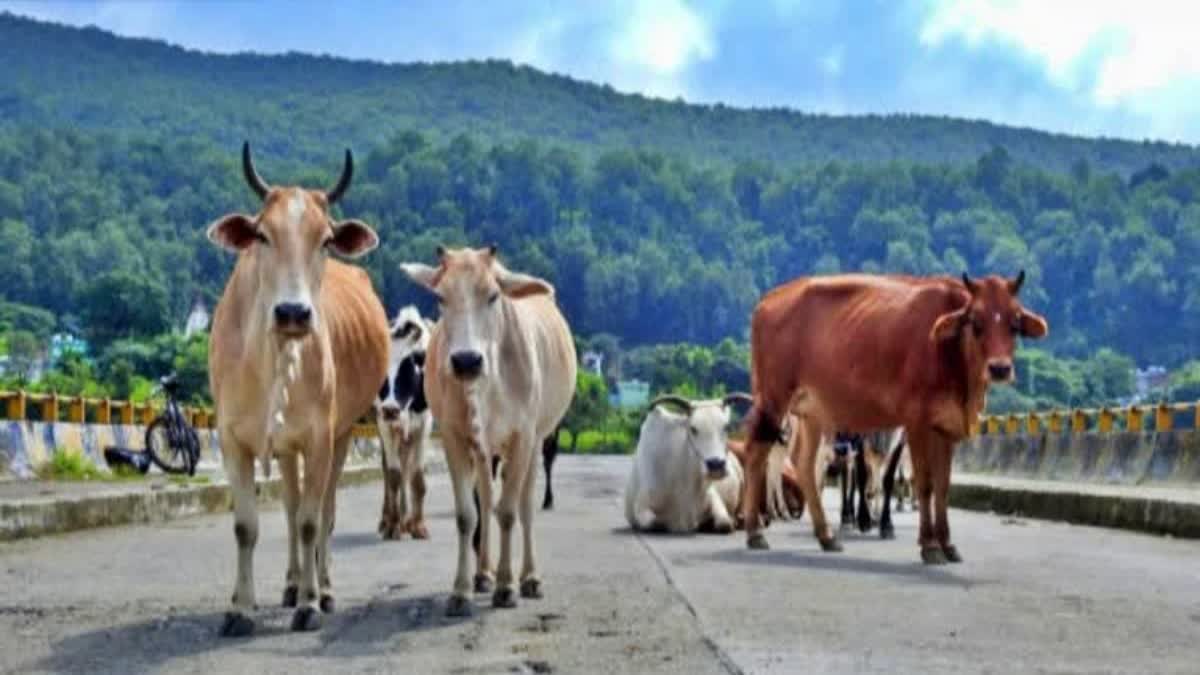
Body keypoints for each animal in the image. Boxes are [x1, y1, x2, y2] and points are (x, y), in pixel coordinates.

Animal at [207, 143, 389, 635]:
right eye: (262, 235)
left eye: (325, 239)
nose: (293, 313)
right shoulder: (232, 440)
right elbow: (247, 526)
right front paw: (240, 608)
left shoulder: (321, 437)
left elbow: (311, 522)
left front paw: (309, 603)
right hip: (287, 447)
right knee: (289, 508)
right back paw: (290, 583)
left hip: (341, 434)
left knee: (323, 511)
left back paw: (320, 588)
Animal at [374, 305, 434, 541]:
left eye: (407, 369)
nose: (391, 409)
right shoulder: (385, 425)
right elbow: (393, 476)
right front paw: (393, 525)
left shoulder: (424, 426)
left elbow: (417, 477)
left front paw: (418, 525)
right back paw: (389, 520)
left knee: (407, 467)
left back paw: (406, 520)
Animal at [401, 245, 577, 616]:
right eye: (441, 297)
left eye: (493, 295)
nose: (466, 360)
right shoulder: (454, 437)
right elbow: (467, 515)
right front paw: (461, 590)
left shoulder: (523, 437)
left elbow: (508, 512)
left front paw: (507, 586)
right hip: (483, 451)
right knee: (484, 495)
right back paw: (483, 573)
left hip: (537, 440)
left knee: (524, 504)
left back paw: (529, 577)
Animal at [624, 394, 752, 534]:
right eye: (693, 429)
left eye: (726, 427)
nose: (716, 465)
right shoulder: (642, 506)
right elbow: (656, 524)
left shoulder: (714, 500)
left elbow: (725, 524)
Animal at [739, 272, 1048, 564]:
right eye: (976, 321)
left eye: (1015, 322)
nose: (999, 368)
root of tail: (769, 300)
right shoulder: (916, 423)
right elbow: (923, 484)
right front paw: (929, 545)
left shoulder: (945, 427)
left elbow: (942, 487)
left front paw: (947, 544)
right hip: (772, 398)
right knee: (756, 454)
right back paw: (755, 532)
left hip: (812, 411)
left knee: (804, 463)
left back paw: (826, 536)